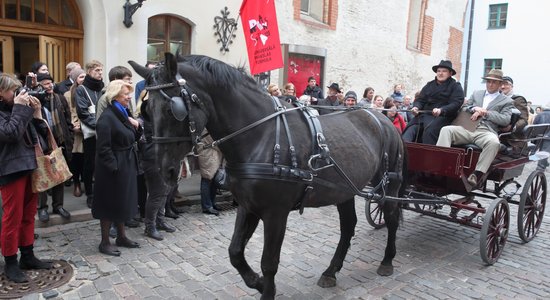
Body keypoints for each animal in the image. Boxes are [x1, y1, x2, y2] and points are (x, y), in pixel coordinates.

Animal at [129, 54, 406, 300]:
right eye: (146, 109)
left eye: (172, 109)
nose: (165, 170)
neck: (260, 135)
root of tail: (383, 118)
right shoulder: (248, 206)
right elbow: (235, 252)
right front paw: (257, 283)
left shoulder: (276, 213)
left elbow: (269, 261)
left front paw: (266, 289)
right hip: (346, 190)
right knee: (348, 226)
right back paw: (331, 271)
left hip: (389, 184)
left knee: (391, 218)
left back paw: (387, 260)